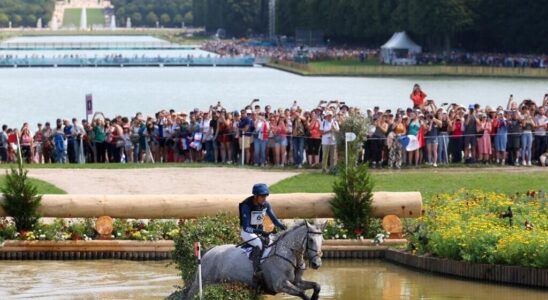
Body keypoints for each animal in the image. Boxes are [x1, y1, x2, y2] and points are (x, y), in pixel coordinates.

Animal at [183, 220, 326, 300]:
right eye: (311, 240)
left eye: (322, 240)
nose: (316, 264)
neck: (290, 254)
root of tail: (209, 251)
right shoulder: (280, 284)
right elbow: (303, 293)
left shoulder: (297, 282)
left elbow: (317, 286)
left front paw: (315, 296)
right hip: (201, 282)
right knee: (189, 295)